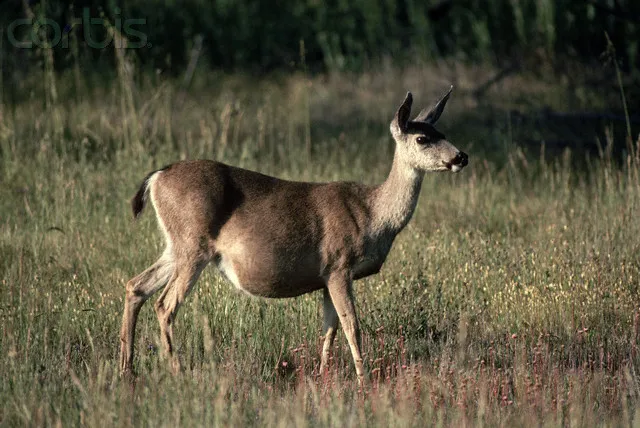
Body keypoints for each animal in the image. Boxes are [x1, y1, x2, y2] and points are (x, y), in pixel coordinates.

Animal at [119, 88, 468, 382]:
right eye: (422, 138)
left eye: (443, 133)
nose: (461, 157)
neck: (373, 215)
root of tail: (156, 177)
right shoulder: (339, 265)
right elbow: (352, 325)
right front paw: (364, 380)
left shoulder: (326, 275)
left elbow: (329, 329)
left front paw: (324, 376)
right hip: (193, 244)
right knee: (165, 305)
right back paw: (176, 372)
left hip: (176, 246)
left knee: (136, 285)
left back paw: (127, 369)